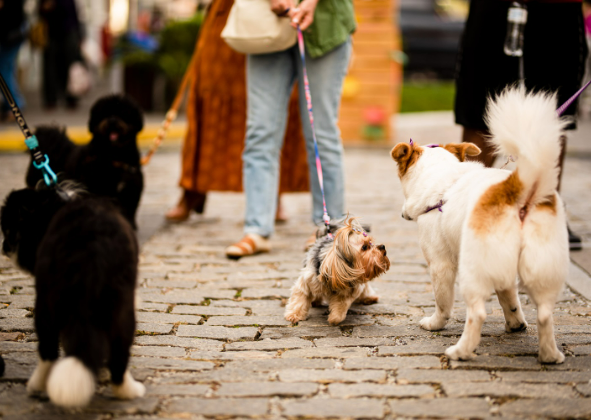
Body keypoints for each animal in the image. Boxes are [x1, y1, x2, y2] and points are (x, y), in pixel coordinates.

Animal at [1, 184, 145, 406]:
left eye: (10, 231)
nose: (4, 249)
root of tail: (91, 248)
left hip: (47, 302)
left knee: (48, 350)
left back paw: (37, 386)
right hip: (121, 308)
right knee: (118, 353)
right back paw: (128, 391)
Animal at [25, 94, 146, 228]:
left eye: (122, 113)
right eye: (104, 114)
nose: (112, 120)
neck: (113, 157)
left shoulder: (130, 192)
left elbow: (129, 213)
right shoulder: (100, 190)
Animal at [394, 87, 568, 362]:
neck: (442, 178)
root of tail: (516, 190)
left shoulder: (440, 264)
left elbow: (442, 302)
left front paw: (435, 324)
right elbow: (509, 299)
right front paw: (515, 324)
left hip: (472, 270)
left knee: (477, 313)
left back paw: (460, 351)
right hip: (542, 268)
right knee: (544, 314)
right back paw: (550, 356)